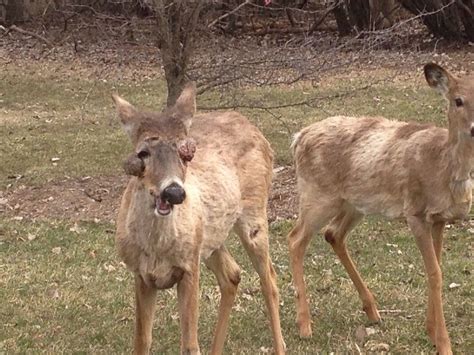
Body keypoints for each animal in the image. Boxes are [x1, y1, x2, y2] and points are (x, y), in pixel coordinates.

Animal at [114, 84, 286, 355]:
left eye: (186, 154)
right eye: (143, 152)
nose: (174, 192)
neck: (157, 249)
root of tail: (253, 127)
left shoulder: (188, 268)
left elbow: (189, 345)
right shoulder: (141, 275)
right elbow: (141, 341)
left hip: (254, 213)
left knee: (269, 278)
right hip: (210, 237)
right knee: (232, 274)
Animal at [286, 64, 472, 355]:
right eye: (458, 100)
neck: (442, 166)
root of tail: (298, 137)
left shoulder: (440, 218)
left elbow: (437, 268)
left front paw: (430, 330)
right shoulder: (414, 211)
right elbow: (434, 273)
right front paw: (443, 343)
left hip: (353, 202)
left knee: (333, 234)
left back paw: (372, 311)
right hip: (317, 194)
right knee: (295, 239)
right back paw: (305, 325)